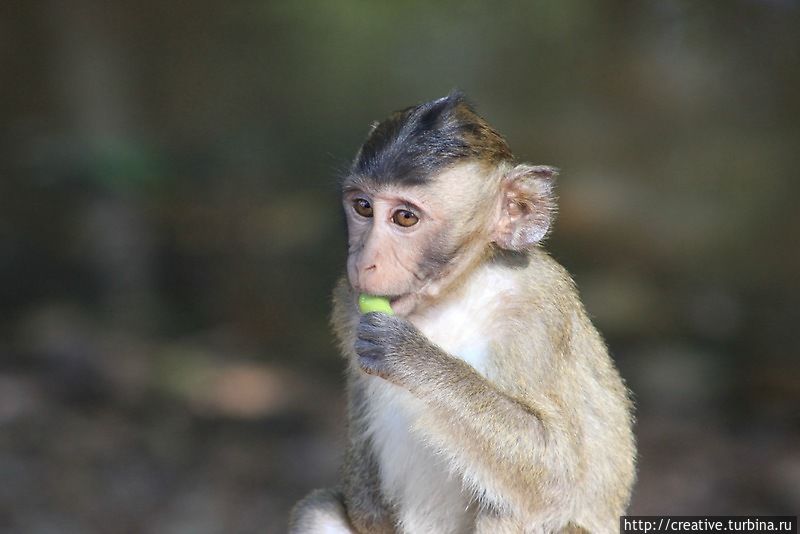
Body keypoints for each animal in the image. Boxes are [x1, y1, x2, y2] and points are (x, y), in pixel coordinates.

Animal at [290, 94, 636, 532]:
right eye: (363, 207)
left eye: (405, 217)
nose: (365, 260)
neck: (455, 295)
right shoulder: (346, 305)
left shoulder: (537, 308)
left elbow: (556, 475)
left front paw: (413, 359)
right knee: (318, 509)